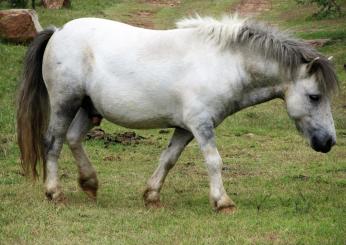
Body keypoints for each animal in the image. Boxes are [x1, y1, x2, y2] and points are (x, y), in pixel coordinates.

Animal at [16, 15, 338, 212]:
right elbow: (214, 161)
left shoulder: (185, 128)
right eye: (314, 96)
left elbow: (168, 159)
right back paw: (55, 192)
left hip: (88, 108)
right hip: (65, 103)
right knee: (53, 143)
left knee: (72, 139)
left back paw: (90, 184)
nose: (329, 142)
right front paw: (222, 202)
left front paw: (152, 196)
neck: (223, 64)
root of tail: (58, 32)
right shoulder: (201, 125)